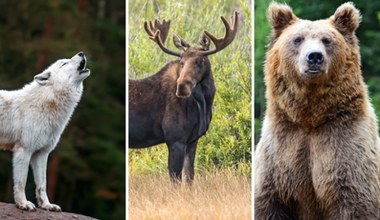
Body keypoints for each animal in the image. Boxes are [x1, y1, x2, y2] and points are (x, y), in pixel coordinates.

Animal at [0, 52, 90, 211]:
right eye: (64, 63)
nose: (81, 53)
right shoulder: (23, 151)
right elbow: (21, 182)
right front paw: (23, 204)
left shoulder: (41, 154)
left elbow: (42, 184)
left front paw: (46, 205)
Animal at [129, 11, 239, 184]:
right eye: (181, 62)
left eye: (200, 61)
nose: (182, 86)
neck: (203, 105)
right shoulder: (176, 140)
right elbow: (175, 180)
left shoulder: (192, 141)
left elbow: (189, 178)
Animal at [254, 2, 380, 220]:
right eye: (297, 39)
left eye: (327, 40)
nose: (314, 56)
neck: (310, 118)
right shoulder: (280, 153)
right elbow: (269, 203)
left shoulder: (346, 148)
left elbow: (356, 202)